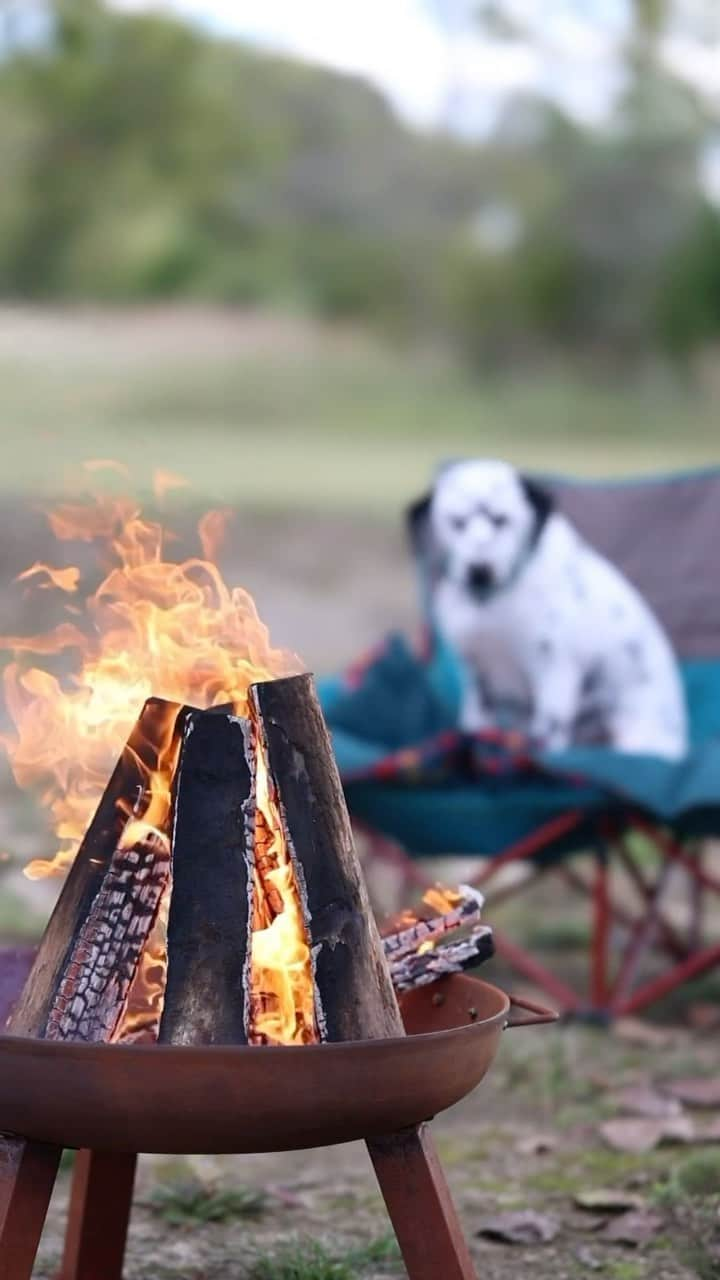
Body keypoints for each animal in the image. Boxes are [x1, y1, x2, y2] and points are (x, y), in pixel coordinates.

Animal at [427, 460, 686, 757]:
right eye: (457, 522)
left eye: (501, 520)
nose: (479, 570)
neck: (491, 601)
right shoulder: (479, 679)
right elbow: (474, 724)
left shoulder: (555, 673)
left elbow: (547, 735)